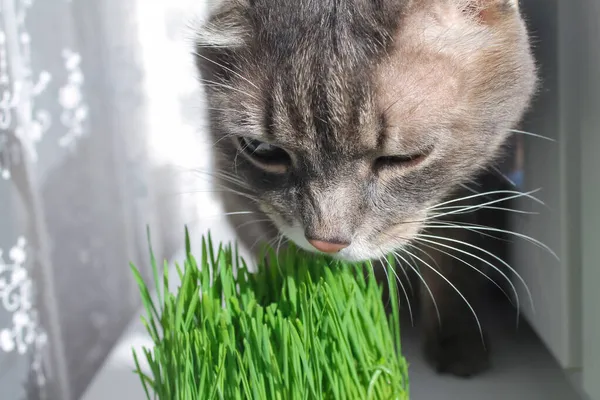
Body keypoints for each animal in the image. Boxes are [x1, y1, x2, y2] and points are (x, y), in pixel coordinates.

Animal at [197, 0, 540, 376]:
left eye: (403, 158)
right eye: (262, 150)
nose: (326, 241)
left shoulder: (464, 198)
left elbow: (451, 263)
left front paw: (456, 339)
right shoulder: (248, 206)